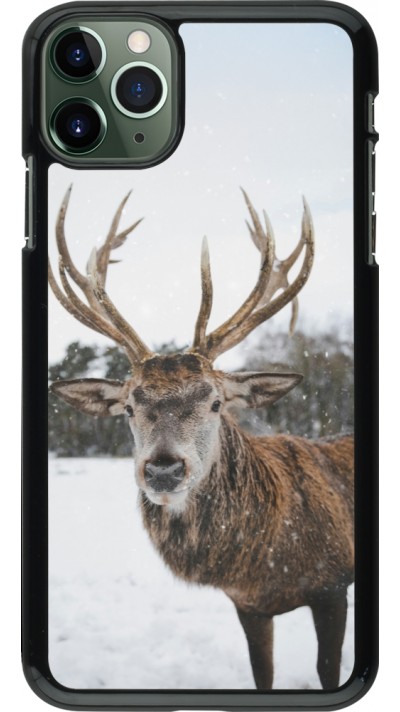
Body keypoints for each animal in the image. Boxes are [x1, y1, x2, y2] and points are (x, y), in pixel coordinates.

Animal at [48, 186, 354, 690]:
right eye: (128, 407)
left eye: (215, 402)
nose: (163, 469)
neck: (266, 563)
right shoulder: (248, 605)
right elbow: (262, 674)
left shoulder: (332, 585)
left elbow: (329, 670)